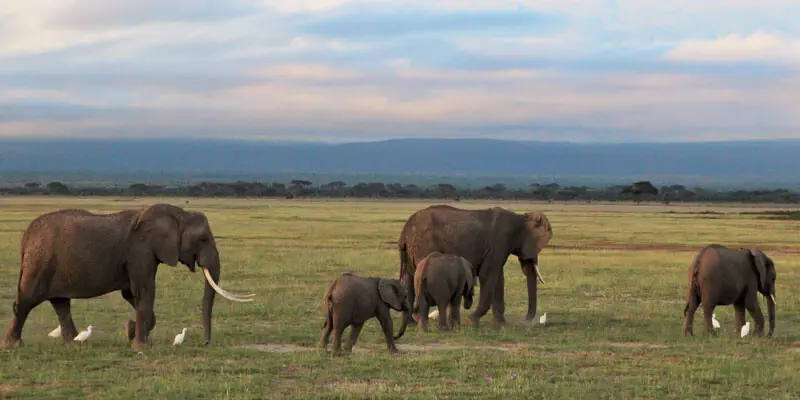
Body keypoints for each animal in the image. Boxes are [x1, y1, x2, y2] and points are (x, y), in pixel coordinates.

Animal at [1, 205, 255, 348]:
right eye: (202, 239)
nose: (206, 343)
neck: (177, 214)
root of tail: (26, 236)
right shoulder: (140, 251)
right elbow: (144, 291)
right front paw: (141, 346)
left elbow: (132, 294)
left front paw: (130, 332)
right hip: (39, 261)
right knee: (27, 300)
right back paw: (13, 345)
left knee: (60, 303)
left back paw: (74, 344)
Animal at [398, 205, 552, 330]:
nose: (526, 322)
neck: (522, 217)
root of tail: (404, 231)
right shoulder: (500, 242)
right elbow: (488, 275)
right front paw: (472, 320)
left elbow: (498, 278)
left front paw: (500, 324)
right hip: (424, 245)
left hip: (410, 251)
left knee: (409, 279)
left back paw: (411, 323)